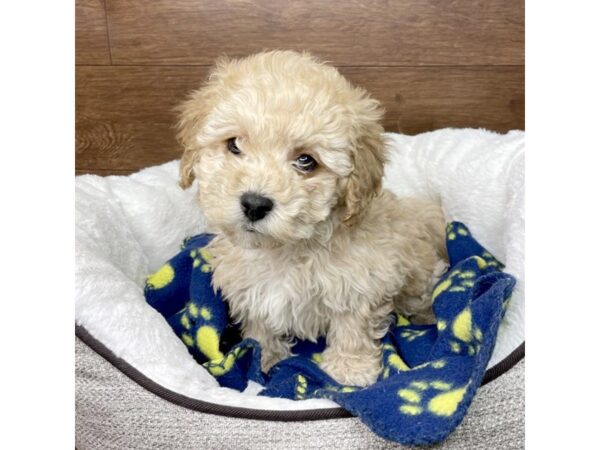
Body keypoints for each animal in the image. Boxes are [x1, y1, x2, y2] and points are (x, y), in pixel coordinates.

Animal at [176, 50, 448, 386]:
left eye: (306, 161)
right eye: (234, 144)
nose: (254, 204)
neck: (285, 249)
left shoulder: (361, 280)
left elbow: (352, 325)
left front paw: (350, 369)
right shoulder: (251, 291)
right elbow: (261, 327)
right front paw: (263, 358)